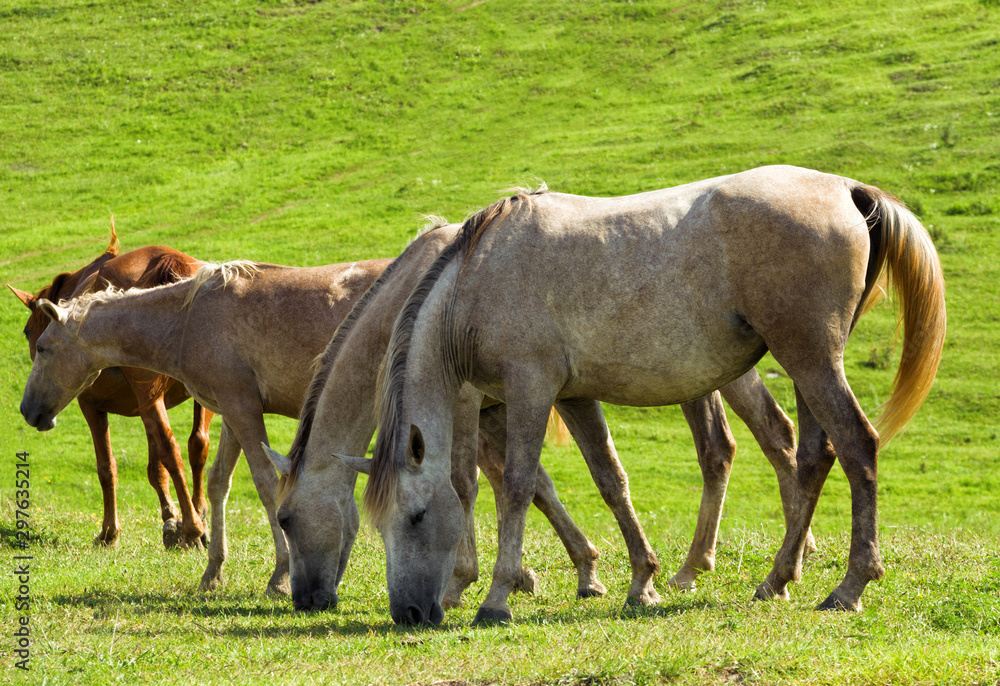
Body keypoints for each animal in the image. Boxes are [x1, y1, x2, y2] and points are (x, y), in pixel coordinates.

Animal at [10, 228, 213, 548]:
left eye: (29, 332)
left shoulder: (90, 405)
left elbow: (106, 466)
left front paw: (109, 532)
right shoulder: (149, 404)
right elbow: (157, 468)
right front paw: (171, 520)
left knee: (174, 448)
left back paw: (193, 528)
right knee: (197, 445)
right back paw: (198, 517)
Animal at [18, 251, 612, 603]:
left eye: (43, 346)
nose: (28, 412)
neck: (190, 315)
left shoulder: (241, 408)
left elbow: (264, 485)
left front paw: (278, 575)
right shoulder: (232, 412)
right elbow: (219, 483)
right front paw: (212, 569)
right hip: (488, 411)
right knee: (530, 483)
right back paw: (568, 570)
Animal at [266, 221, 814, 623]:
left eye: (286, 518)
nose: (305, 599)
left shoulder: (471, 403)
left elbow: (470, 484)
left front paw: (465, 581)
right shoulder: (500, 408)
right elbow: (537, 487)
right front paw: (580, 572)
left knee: (752, 443)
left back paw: (743, 564)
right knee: (765, 441)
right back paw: (784, 554)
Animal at [344, 165, 946, 625]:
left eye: (416, 516)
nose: (409, 614)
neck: (477, 277)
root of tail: (845, 188)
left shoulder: (529, 388)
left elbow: (514, 486)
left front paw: (495, 599)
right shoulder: (574, 396)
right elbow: (609, 479)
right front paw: (641, 581)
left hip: (811, 360)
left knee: (857, 445)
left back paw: (850, 586)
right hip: (807, 365)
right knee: (815, 455)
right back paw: (776, 578)